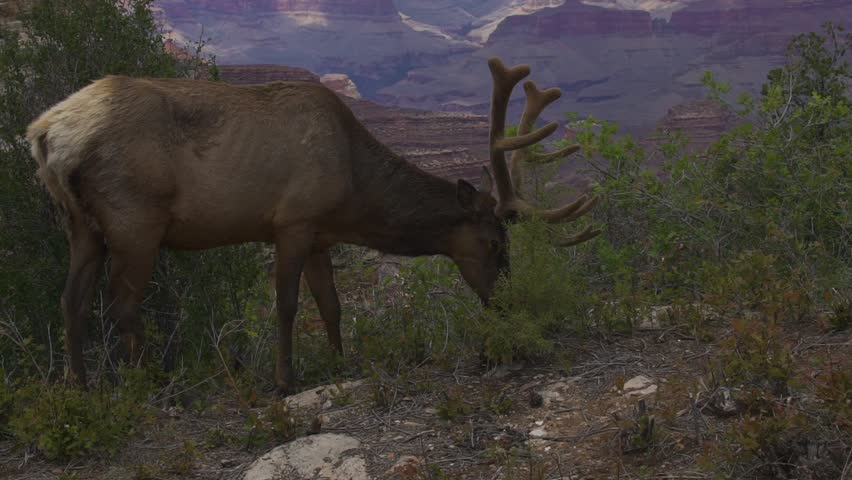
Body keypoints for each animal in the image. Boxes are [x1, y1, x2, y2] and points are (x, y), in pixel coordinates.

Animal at [26, 57, 600, 395]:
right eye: (495, 242)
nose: (506, 301)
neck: (353, 188)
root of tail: (45, 133)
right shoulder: (293, 220)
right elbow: (286, 304)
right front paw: (285, 380)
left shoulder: (322, 233)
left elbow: (331, 304)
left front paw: (341, 364)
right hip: (135, 217)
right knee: (121, 305)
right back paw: (152, 385)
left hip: (80, 223)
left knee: (70, 300)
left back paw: (79, 388)